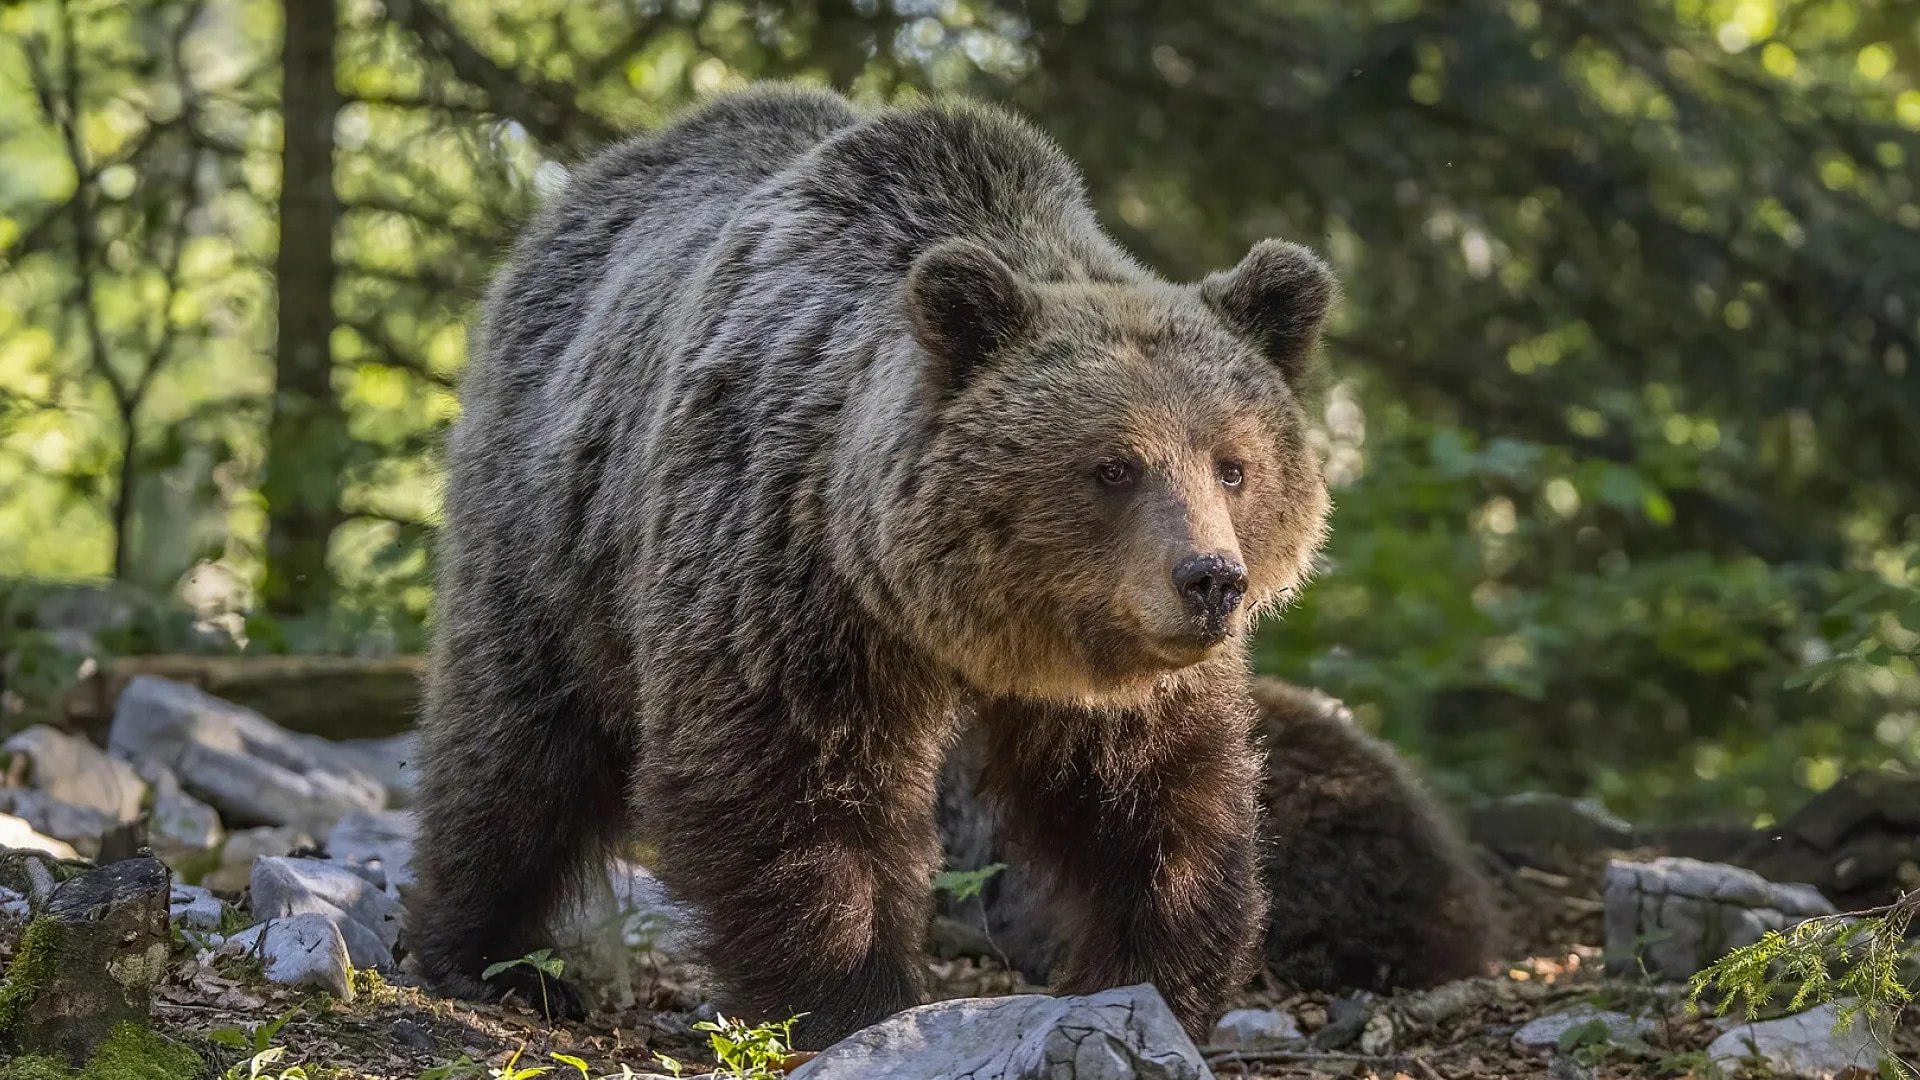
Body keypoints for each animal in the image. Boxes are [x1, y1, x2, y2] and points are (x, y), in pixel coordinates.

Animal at [409, 83, 1337, 1047]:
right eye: (1114, 466)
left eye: (1233, 465)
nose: (1210, 580)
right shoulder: (784, 570)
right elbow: (790, 781)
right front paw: (852, 999)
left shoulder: (1119, 667)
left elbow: (1155, 798)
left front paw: (1151, 978)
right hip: (552, 521)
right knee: (517, 742)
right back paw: (491, 956)